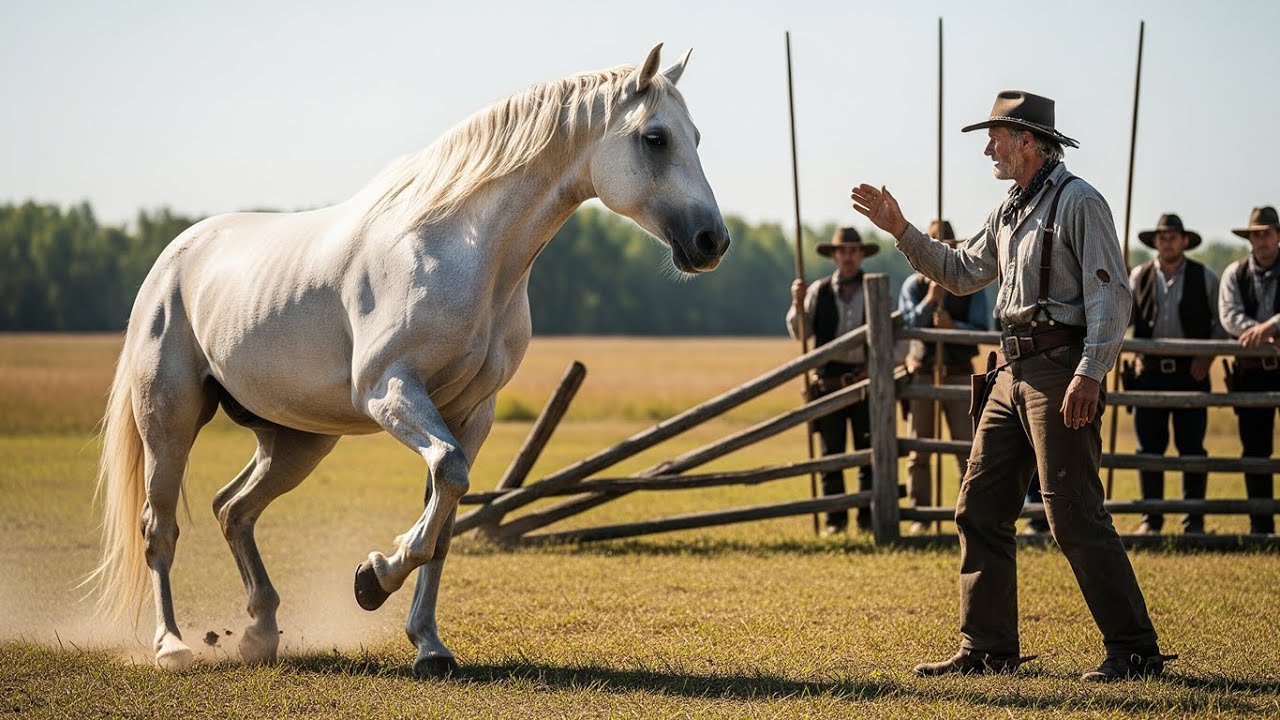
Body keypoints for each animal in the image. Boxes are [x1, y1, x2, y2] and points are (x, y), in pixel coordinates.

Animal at [87, 44, 729, 677]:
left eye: (697, 136)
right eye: (655, 138)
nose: (712, 242)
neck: (462, 252)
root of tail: (175, 256)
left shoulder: (470, 411)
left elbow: (444, 515)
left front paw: (428, 643)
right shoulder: (390, 390)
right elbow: (447, 475)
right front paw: (372, 578)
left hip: (294, 441)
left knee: (233, 509)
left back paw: (260, 632)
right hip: (170, 422)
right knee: (160, 527)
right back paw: (171, 646)